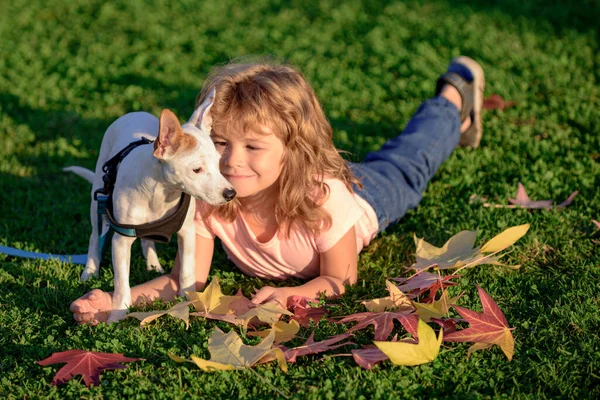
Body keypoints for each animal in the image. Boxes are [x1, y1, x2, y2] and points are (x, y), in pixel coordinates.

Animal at [65, 90, 234, 322]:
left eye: (218, 164)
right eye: (196, 170)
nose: (231, 193)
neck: (162, 193)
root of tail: (134, 113)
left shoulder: (187, 232)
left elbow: (187, 271)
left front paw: (187, 299)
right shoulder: (121, 241)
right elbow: (122, 284)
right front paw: (117, 314)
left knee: (147, 239)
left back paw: (153, 264)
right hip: (98, 197)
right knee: (95, 236)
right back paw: (90, 270)